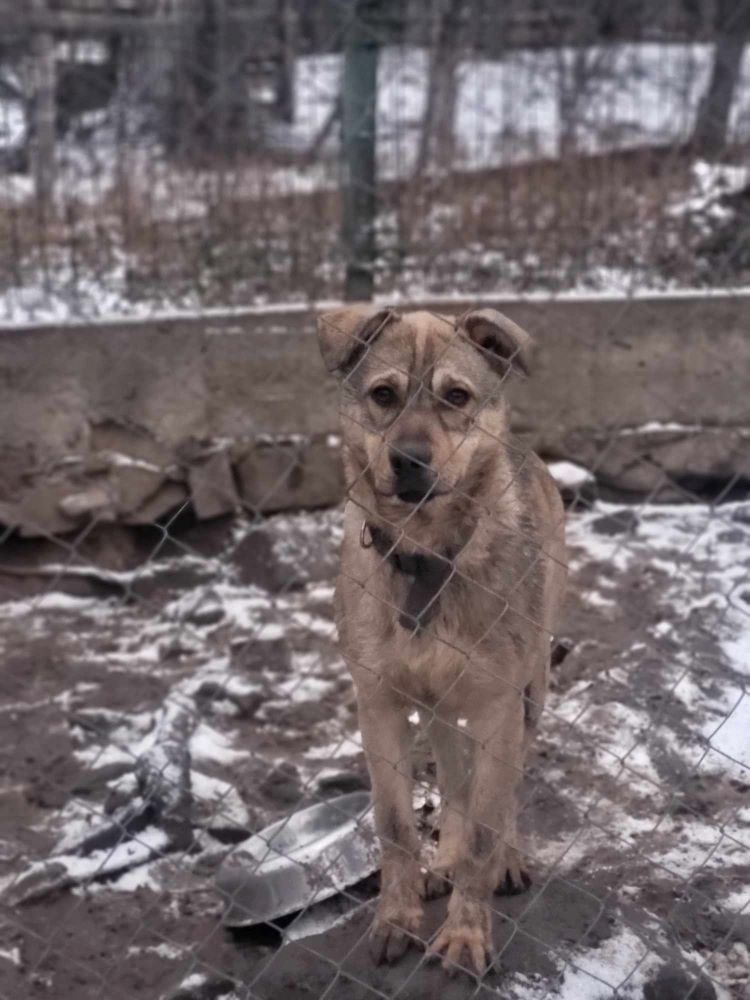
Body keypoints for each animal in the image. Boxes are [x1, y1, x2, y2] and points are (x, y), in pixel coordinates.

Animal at [314, 306, 568, 976]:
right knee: (454, 780)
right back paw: (444, 860)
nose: (410, 460)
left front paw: (465, 935)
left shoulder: (498, 705)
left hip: (529, 692)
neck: (427, 555)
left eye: (457, 397)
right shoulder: (378, 704)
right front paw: (398, 917)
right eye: (384, 395)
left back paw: (502, 859)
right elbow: (396, 824)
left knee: (499, 790)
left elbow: (485, 822)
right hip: (438, 707)